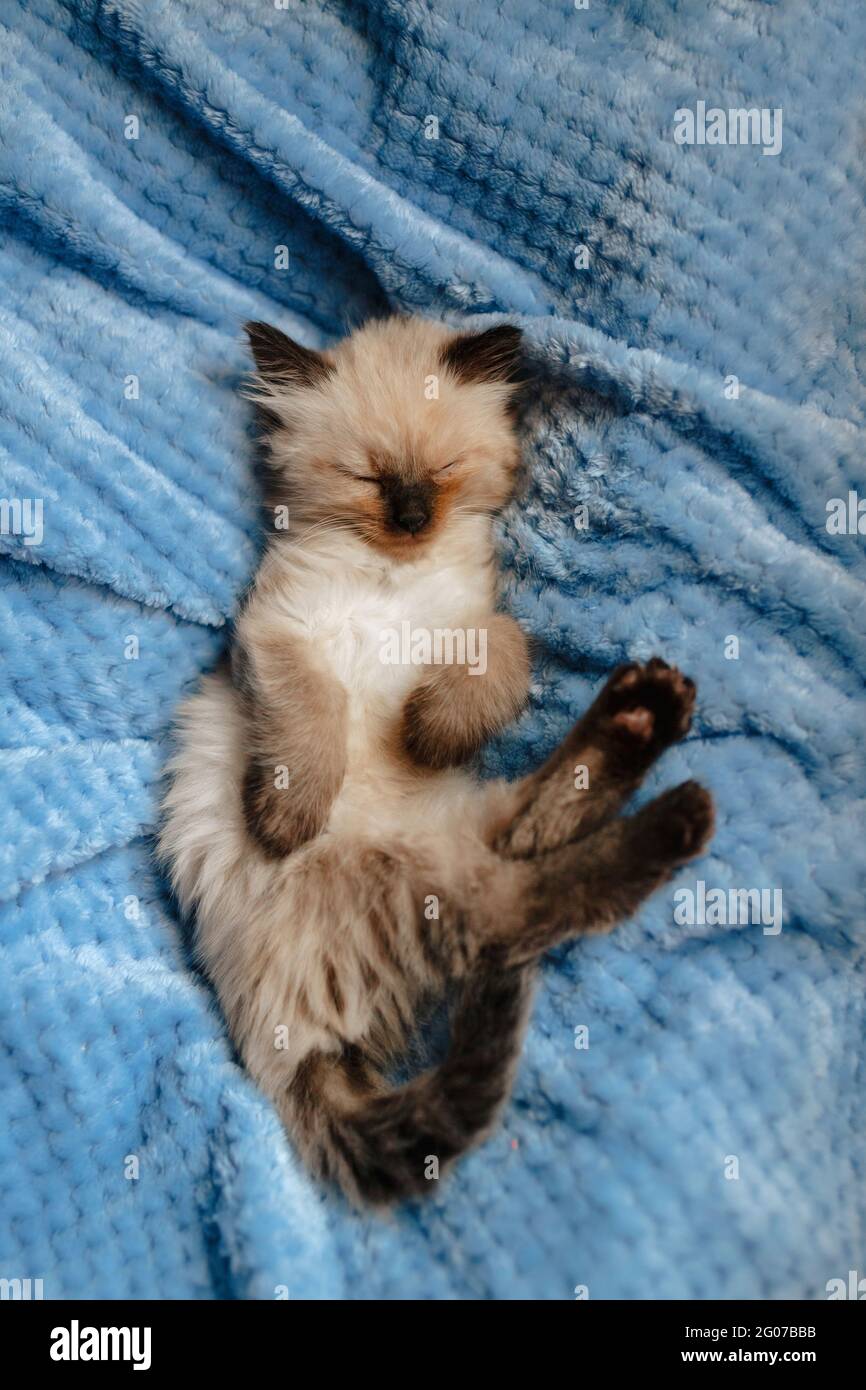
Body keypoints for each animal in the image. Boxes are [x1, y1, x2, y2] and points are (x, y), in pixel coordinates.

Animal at [159, 315, 717, 1206]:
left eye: (443, 472)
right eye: (368, 476)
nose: (415, 515)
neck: (395, 577)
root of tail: (286, 1050)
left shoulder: (478, 624)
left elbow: (503, 653)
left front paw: (429, 731)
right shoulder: (280, 640)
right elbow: (313, 720)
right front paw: (286, 818)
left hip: (464, 830)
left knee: (541, 843)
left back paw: (647, 711)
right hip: (428, 874)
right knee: (525, 907)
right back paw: (676, 794)